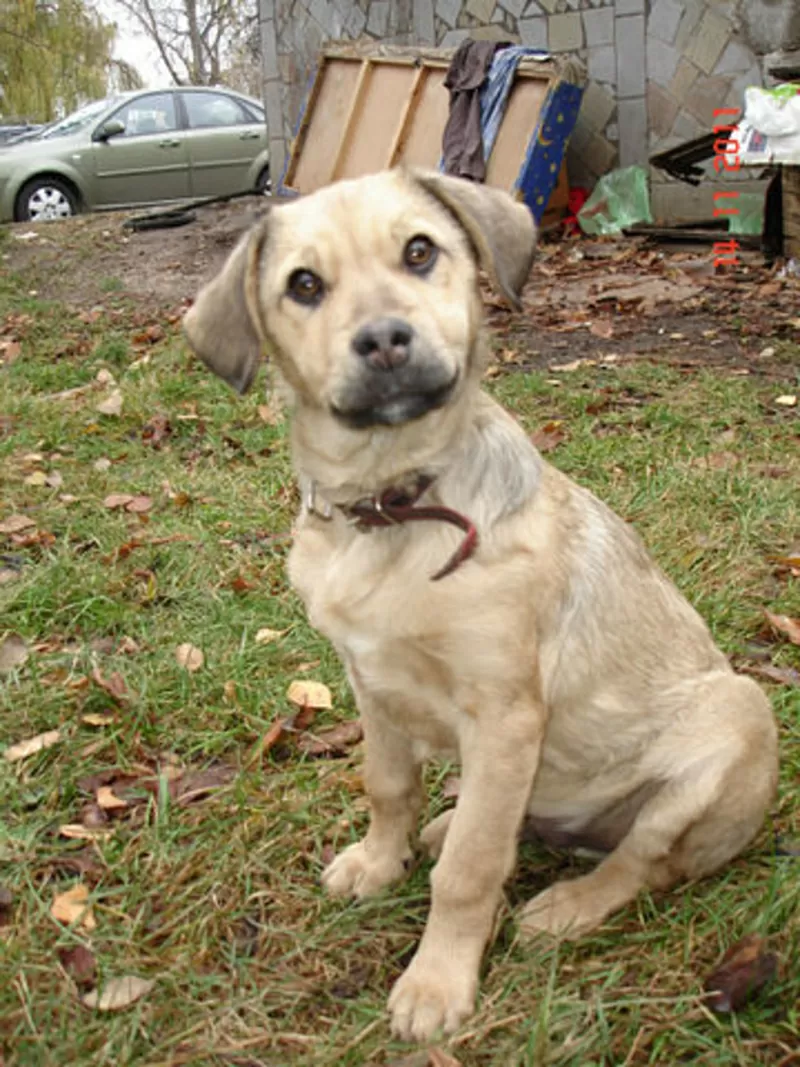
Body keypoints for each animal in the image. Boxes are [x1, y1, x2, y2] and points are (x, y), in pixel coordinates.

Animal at [184, 170, 780, 1045]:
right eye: (304, 285)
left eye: (419, 251)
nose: (385, 340)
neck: (395, 505)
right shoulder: (370, 683)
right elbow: (388, 787)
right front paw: (380, 860)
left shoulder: (504, 713)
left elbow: (469, 871)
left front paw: (436, 982)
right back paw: (448, 824)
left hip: (736, 719)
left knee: (641, 860)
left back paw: (567, 906)